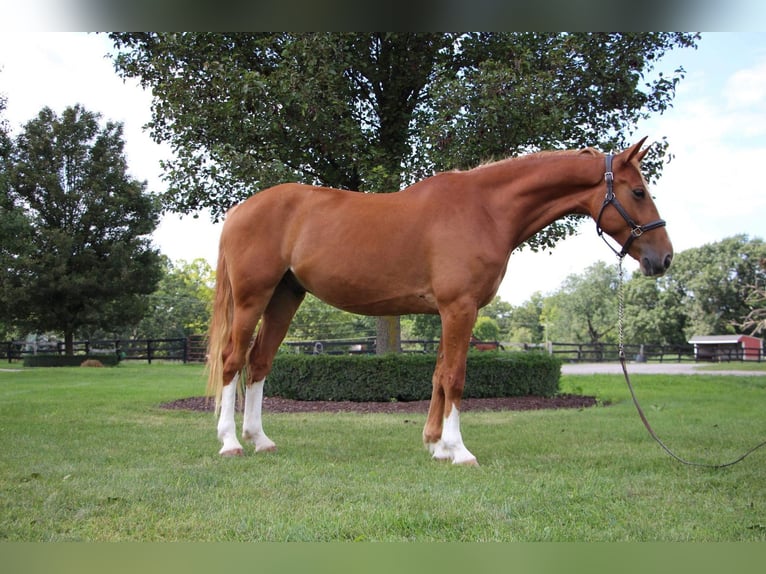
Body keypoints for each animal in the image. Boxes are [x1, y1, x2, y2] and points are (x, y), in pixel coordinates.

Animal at [207, 140, 676, 468]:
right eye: (638, 191)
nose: (665, 258)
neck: (485, 209)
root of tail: (240, 209)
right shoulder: (459, 308)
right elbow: (455, 378)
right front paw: (460, 450)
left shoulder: (447, 313)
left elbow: (437, 375)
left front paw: (436, 446)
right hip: (252, 298)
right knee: (233, 359)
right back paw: (230, 443)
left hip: (285, 296)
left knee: (259, 362)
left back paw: (260, 440)